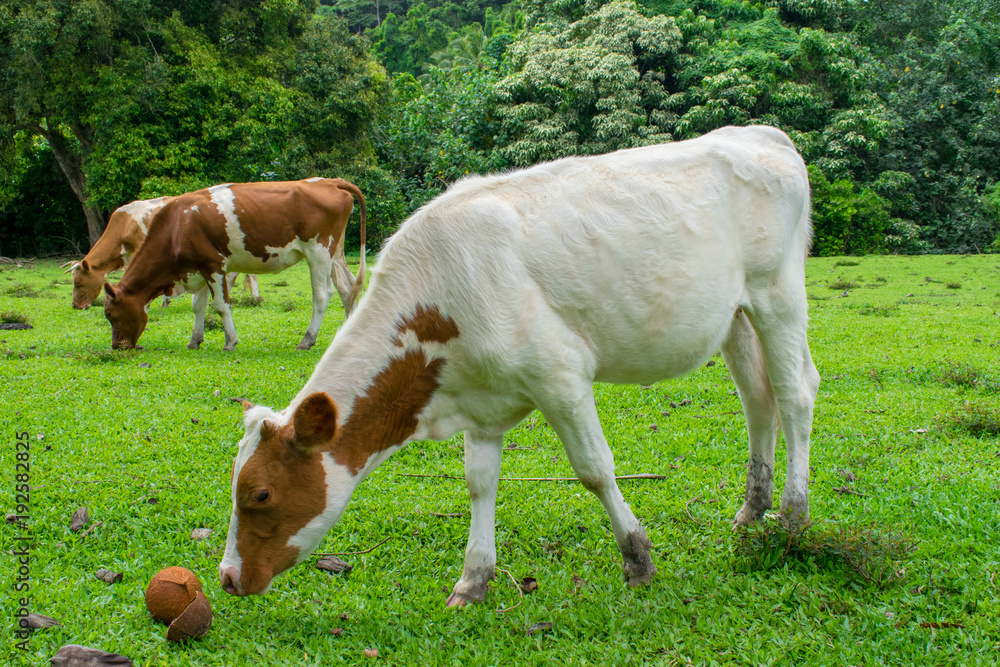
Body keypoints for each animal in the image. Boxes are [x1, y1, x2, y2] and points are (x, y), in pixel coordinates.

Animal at [103, 178, 366, 351]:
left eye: (109, 314)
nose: (116, 346)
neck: (179, 225)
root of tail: (330, 182)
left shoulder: (214, 265)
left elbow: (221, 305)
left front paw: (230, 341)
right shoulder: (198, 268)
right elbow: (198, 306)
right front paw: (195, 340)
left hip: (318, 251)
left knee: (322, 295)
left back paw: (307, 339)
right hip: (335, 253)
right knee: (348, 288)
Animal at [219, 126, 820, 605]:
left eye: (260, 494)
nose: (226, 577)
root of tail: (761, 133)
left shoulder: (560, 377)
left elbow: (595, 470)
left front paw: (638, 559)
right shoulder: (479, 400)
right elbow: (479, 484)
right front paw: (473, 580)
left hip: (777, 293)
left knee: (795, 394)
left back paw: (792, 517)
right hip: (733, 315)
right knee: (758, 400)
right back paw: (752, 510)